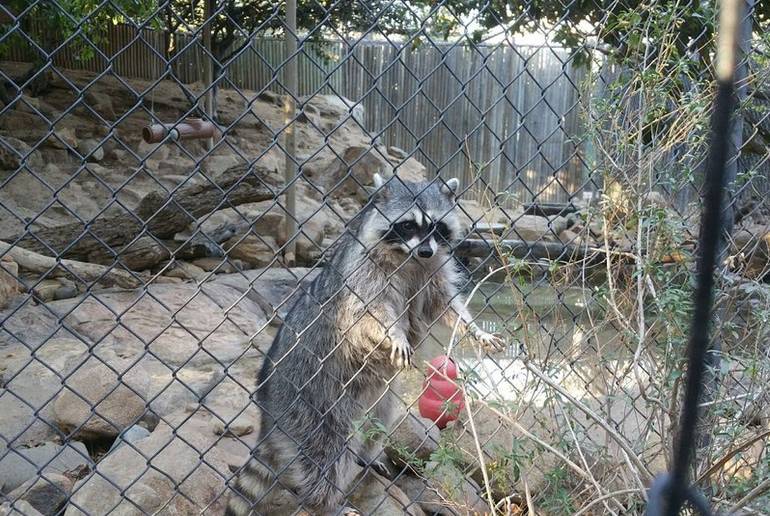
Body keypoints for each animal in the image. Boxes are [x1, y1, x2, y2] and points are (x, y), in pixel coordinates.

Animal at [226, 174, 504, 516]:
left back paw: (369, 456)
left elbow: (443, 304)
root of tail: (268, 417)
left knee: (378, 421)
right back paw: (323, 503)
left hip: (375, 396)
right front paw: (394, 333)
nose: (426, 251)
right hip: (309, 403)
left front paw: (474, 329)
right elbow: (372, 311)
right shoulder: (363, 275)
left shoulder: (434, 272)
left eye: (436, 226)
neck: (409, 258)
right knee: (325, 453)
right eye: (408, 225)